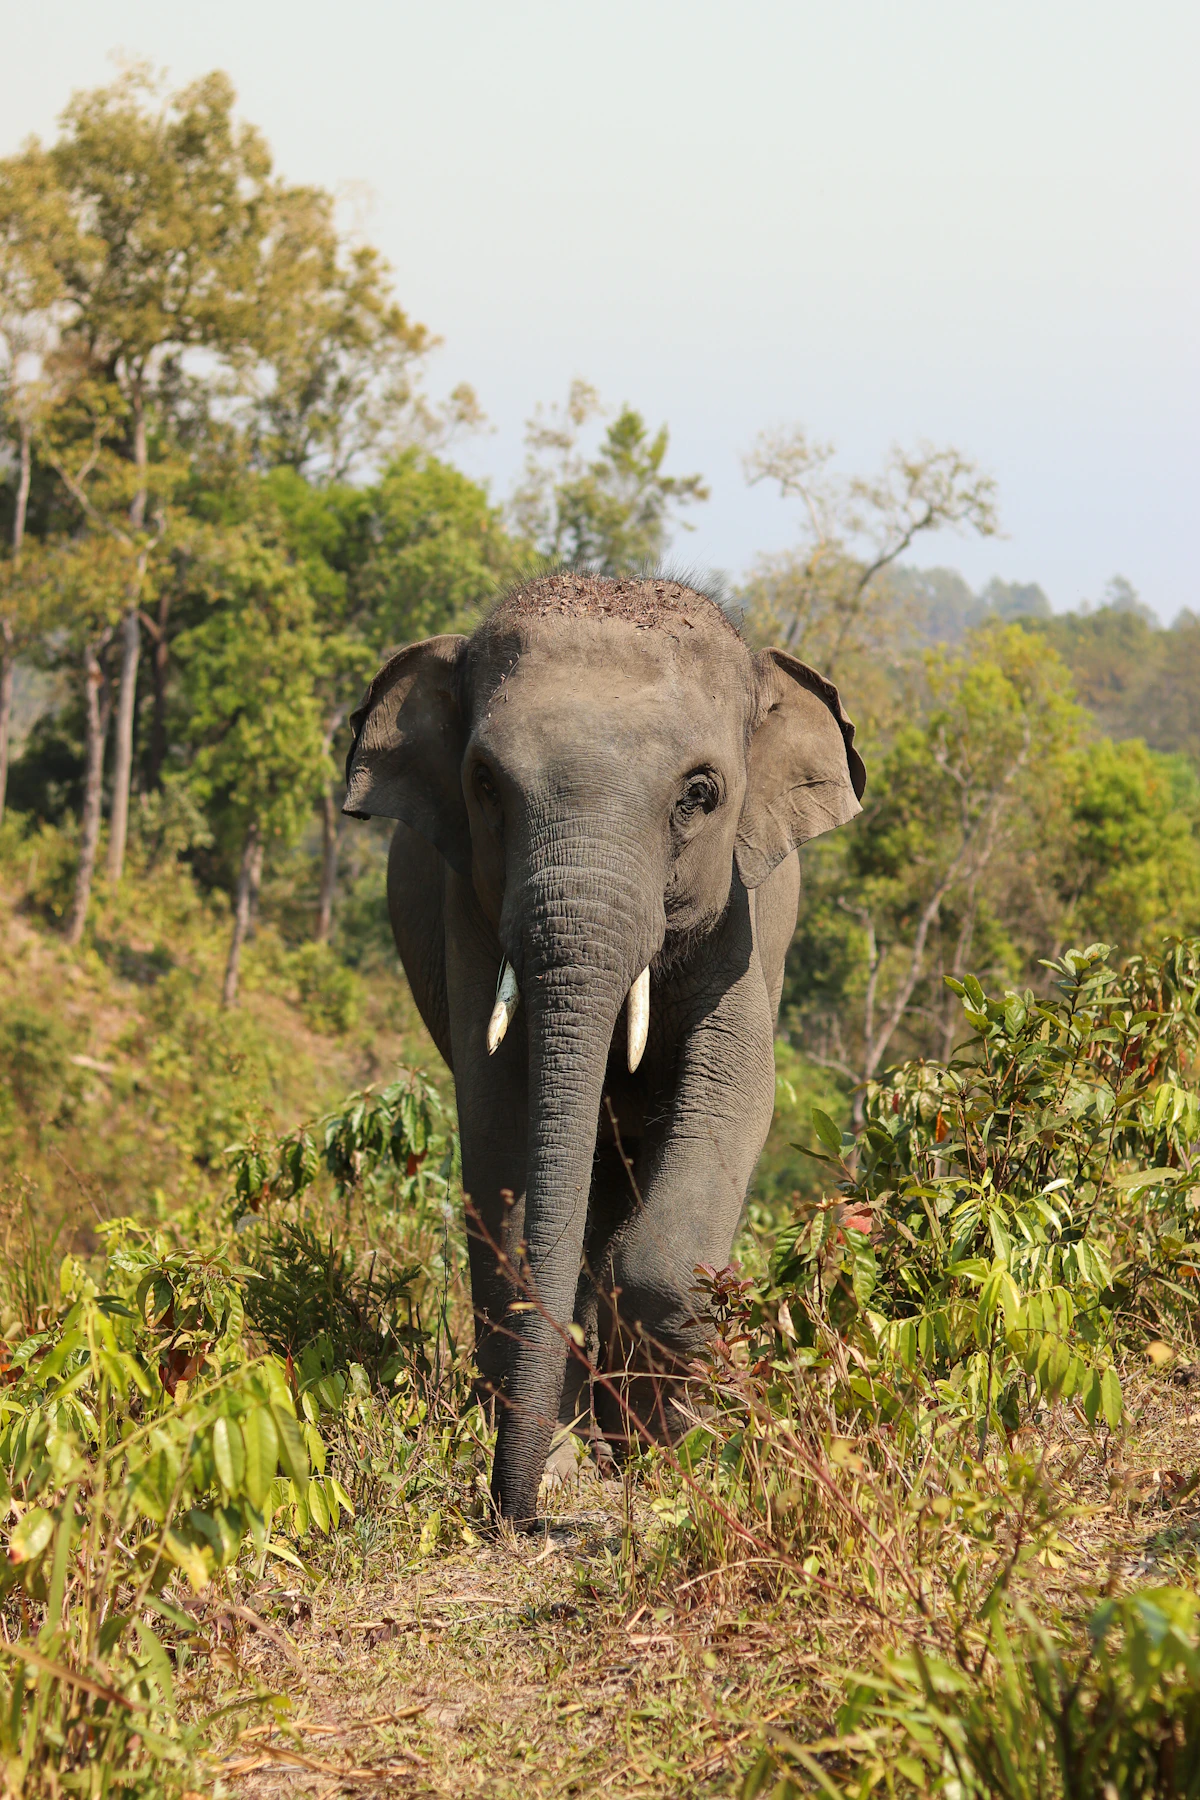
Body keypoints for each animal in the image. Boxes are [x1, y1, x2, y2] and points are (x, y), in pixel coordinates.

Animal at [343, 572, 865, 1527]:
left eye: (700, 794)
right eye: (484, 783)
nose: (516, 1516)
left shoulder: (748, 916)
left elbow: (736, 1090)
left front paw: (671, 1453)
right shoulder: (468, 908)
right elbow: (502, 1123)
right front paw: (561, 1468)